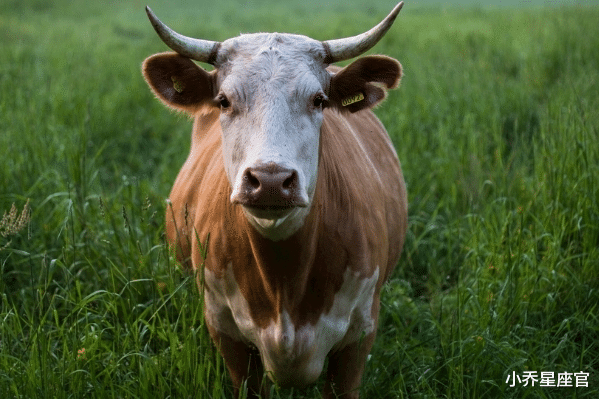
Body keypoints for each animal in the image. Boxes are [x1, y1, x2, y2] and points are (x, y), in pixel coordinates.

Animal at [143, 2, 410, 396]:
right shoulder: (225, 332)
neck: (284, 283)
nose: (269, 181)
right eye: (224, 100)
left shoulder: (360, 335)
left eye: (319, 100)